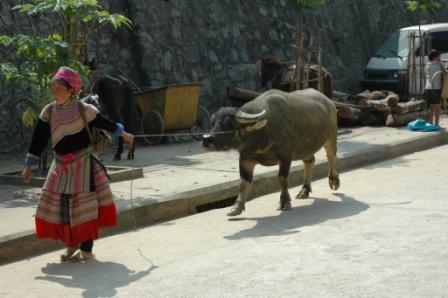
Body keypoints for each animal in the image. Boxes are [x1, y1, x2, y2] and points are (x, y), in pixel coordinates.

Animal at [202, 88, 340, 217]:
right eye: (213, 123)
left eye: (228, 124)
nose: (206, 139)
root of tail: (329, 102)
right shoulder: (245, 158)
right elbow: (243, 183)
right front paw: (236, 207)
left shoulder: (285, 157)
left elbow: (282, 179)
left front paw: (284, 202)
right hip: (306, 148)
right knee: (310, 162)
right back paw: (304, 191)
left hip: (331, 135)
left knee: (331, 156)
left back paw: (334, 180)